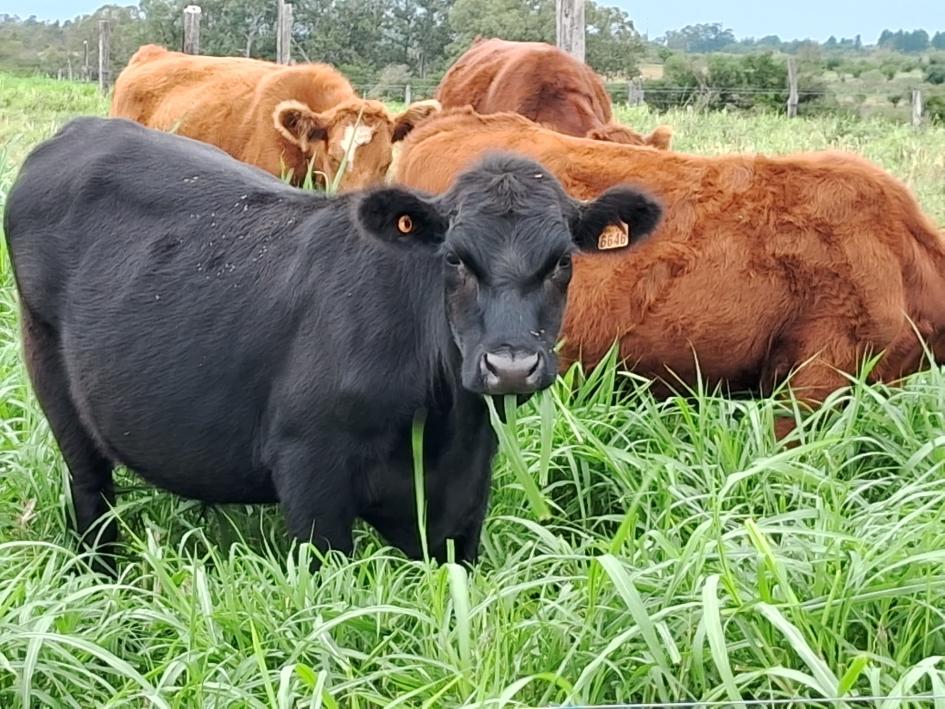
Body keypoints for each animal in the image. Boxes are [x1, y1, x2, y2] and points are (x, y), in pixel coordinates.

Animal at [3, 117, 660, 568]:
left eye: (561, 262)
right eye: (454, 259)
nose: (512, 366)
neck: (437, 424)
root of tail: (83, 129)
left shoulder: (463, 500)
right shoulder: (310, 476)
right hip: (52, 376)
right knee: (91, 492)